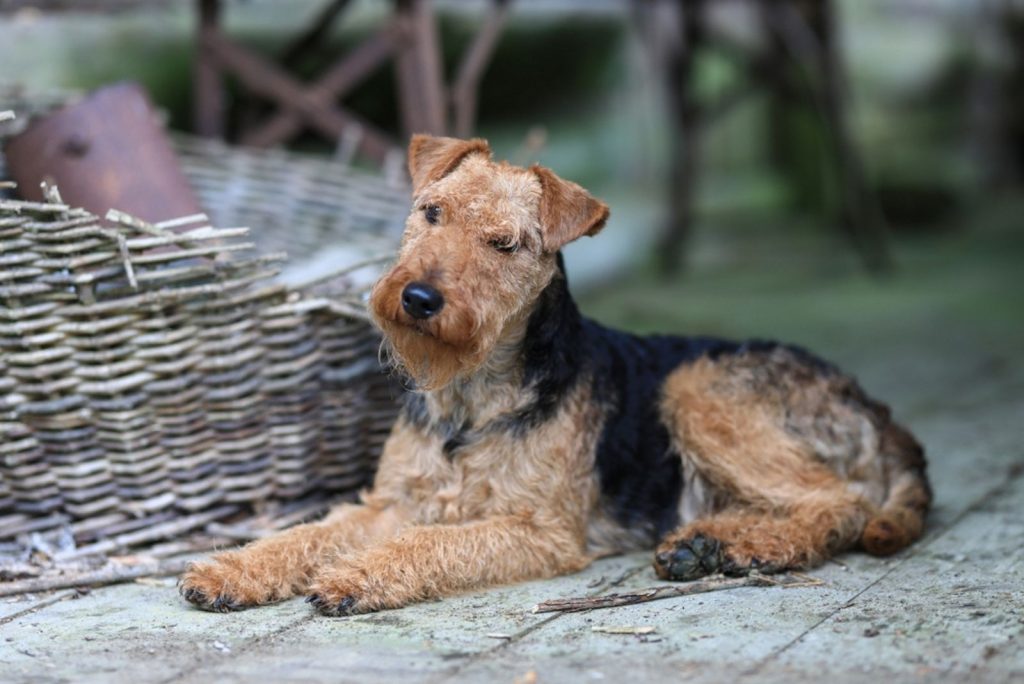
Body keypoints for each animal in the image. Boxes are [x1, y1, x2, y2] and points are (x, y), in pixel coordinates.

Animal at [180, 133, 933, 614]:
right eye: (431, 212)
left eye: (504, 244)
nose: (418, 299)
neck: (469, 399)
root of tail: (873, 406)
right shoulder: (390, 502)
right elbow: (306, 533)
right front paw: (227, 570)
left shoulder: (538, 530)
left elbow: (425, 544)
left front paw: (355, 577)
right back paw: (705, 546)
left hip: (696, 387)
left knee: (838, 502)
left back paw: (747, 550)